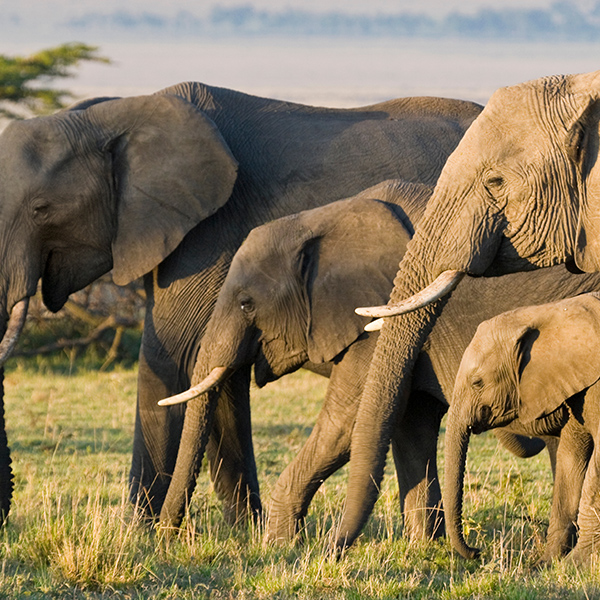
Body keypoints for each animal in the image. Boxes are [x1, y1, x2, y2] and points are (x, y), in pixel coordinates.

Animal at [0, 81, 482, 524]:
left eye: (42, 209)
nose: (6, 516)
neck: (114, 113)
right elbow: (217, 375)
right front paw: (244, 531)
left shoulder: (208, 233)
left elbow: (176, 358)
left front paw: (140, 534)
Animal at [159, 178, 600, 540]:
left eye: (247, 304)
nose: (168, 537)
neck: (325, 218)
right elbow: (410, 425)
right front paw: (424, 547)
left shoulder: (378, 320)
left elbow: (346, 423)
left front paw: (280, 547)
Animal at [442, 296, 600, 568]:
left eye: (477, 383)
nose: (477, 551)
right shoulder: (573, 383)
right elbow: (571, 457)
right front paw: (544, 565)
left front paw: (575, 564)